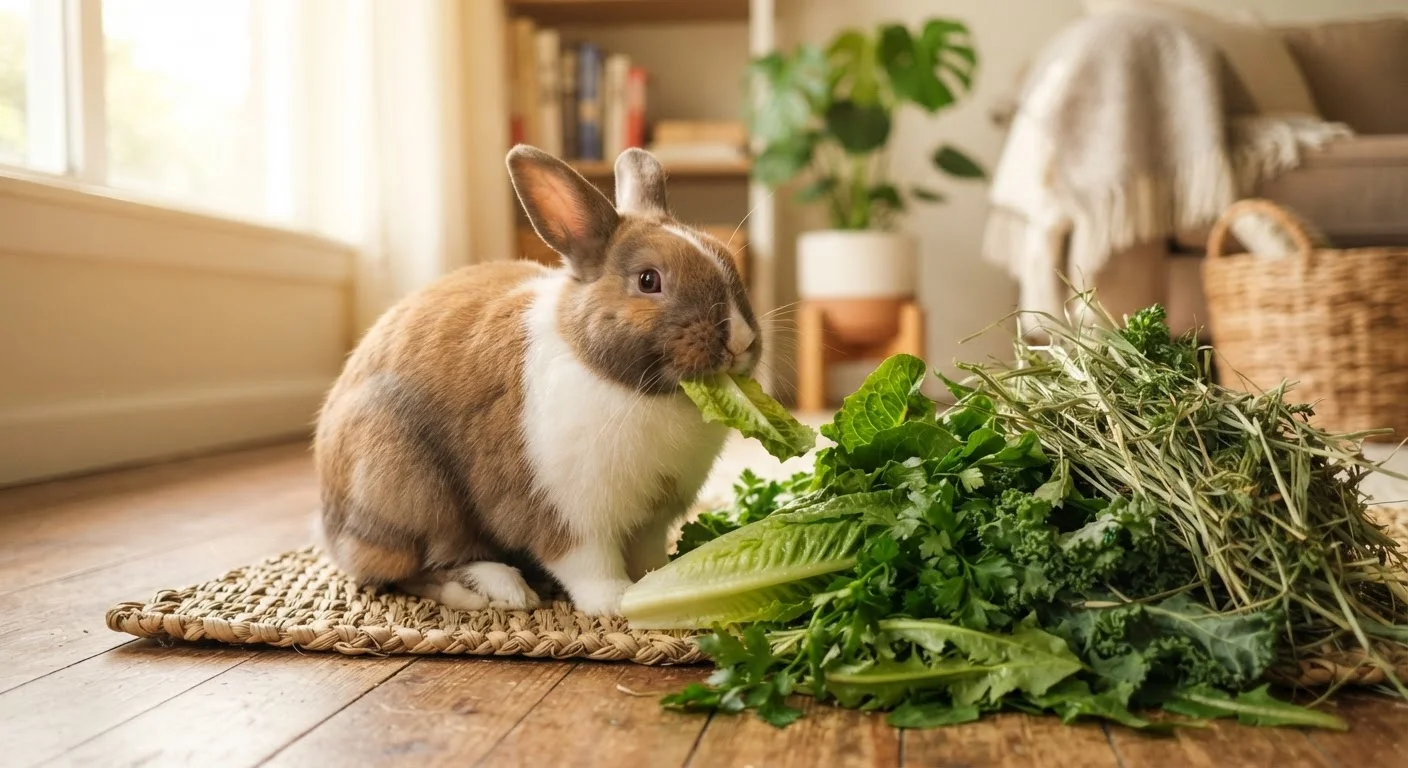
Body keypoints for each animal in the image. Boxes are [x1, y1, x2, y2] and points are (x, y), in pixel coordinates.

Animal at [313, 145, 760, 616]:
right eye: (648, 280)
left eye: (727, 258)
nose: (741, 341)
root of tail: (330, 526)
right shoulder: (567, 513)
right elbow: (588, 564)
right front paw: (616, 602)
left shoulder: (651, 520)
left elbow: (648, 554)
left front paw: (659, 580)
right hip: (408, 492)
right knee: (403, 569)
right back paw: (495, 588)